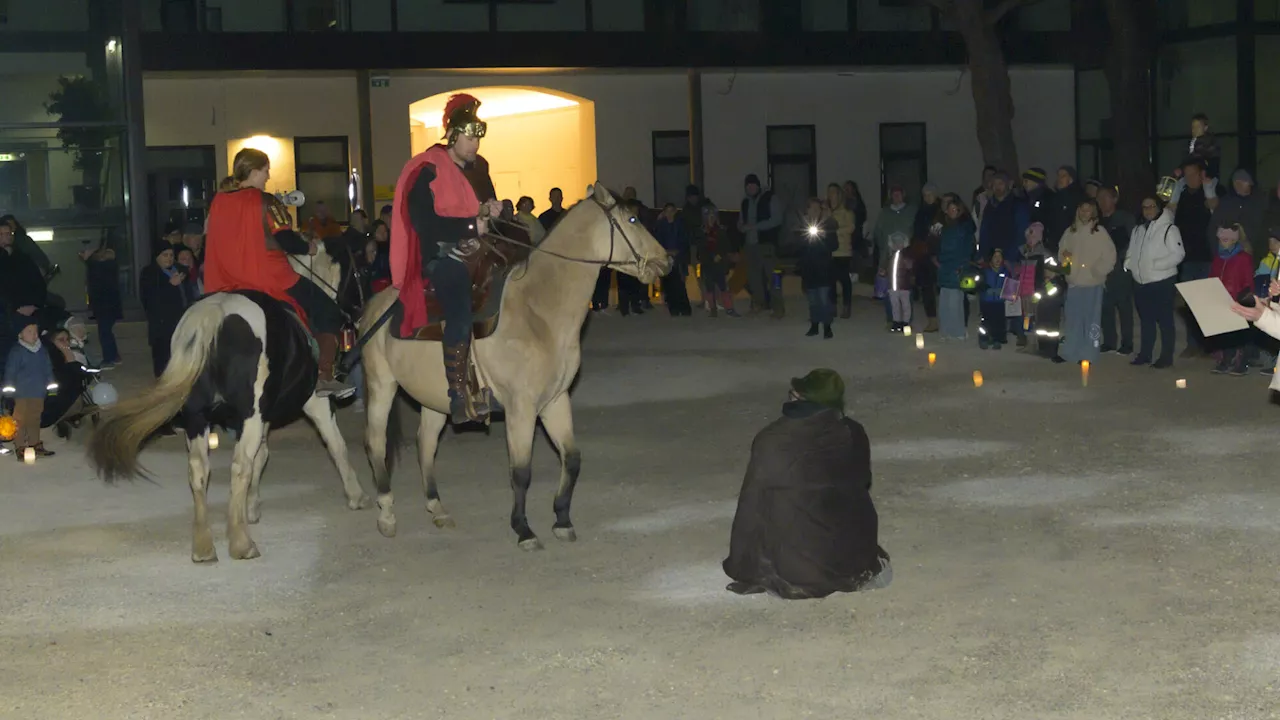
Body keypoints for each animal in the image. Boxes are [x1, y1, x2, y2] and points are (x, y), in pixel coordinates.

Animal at [88, 285, 371, 561]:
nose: (356, 309)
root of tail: (217, 311)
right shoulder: (313, 403)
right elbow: (336, 445)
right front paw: (356, 496)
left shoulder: (262, 417)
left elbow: (262, 455)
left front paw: (251, 507)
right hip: (249, 414)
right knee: (240, 465)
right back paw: (241, 544)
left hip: (197, 417)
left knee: (199, 468)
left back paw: (204, 546)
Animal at [358, 181, 670, 545]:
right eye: (633, 218)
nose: (667, 260)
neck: (539, 312)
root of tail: (375, 306)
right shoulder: (521, 408)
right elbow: (521, 471)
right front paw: (523, 529)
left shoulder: (555, 401)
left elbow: (572, 458)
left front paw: (562, 519)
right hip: (382, 385)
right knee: (376, 442)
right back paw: (387, 514)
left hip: (432, 397)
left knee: (426, 442)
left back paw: (437, 508)